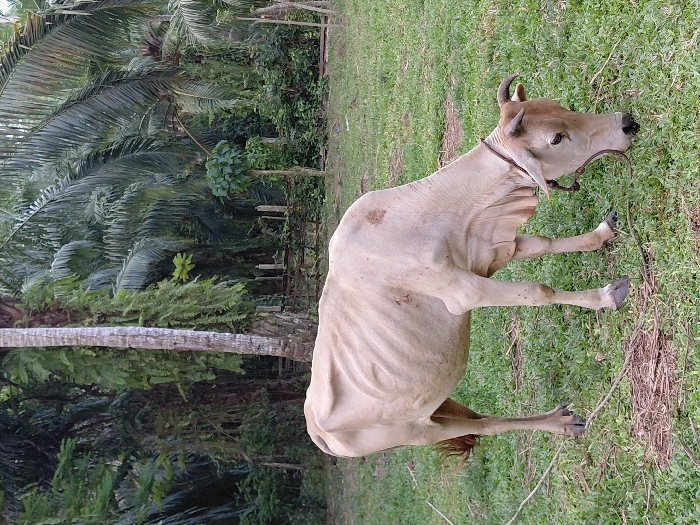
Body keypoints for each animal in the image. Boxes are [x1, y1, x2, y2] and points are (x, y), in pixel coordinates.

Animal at [305, 74, 639, 464]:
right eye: (556, 138)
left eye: (557, 106)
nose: (627, 123)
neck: (434, 214)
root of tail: (317, 431)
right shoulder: (467, 292)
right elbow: (538, 291)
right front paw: (606, 296)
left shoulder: (494, 250)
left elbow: (543, 243)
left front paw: (602, 234)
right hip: (420, 431)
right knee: (487, 426)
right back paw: (558, 424)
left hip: (439, 404)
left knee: (478, 418)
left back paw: (558, 419)